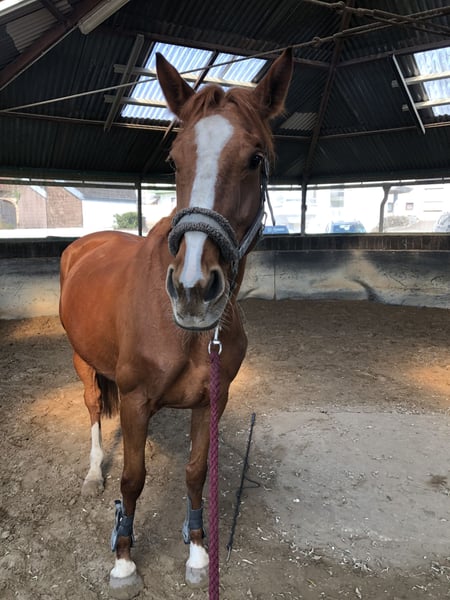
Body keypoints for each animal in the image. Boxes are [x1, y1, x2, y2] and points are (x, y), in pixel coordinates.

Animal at [59, 48, 292, 598]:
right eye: (174, 159)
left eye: (255, 158)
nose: (192, 289)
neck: (184, 333)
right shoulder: (136, 399)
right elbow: (133, 478)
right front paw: (124, 560)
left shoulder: (211, 400)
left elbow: (195, 473)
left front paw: (199, 551)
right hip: (82, 360)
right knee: (93, 409)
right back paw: (92, 474)